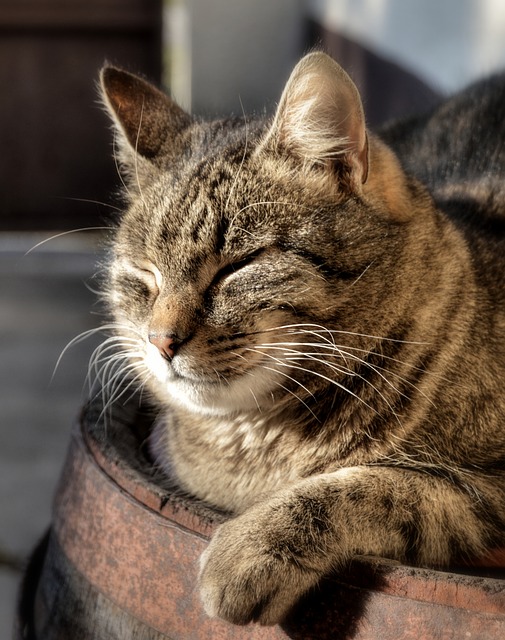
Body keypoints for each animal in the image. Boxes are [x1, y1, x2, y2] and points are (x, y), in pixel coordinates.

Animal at [97, 51, 504, 624]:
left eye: (238, 266)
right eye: (144, 275)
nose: (161, 340)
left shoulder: (486, 489)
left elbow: (383, 486)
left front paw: (245, 549)